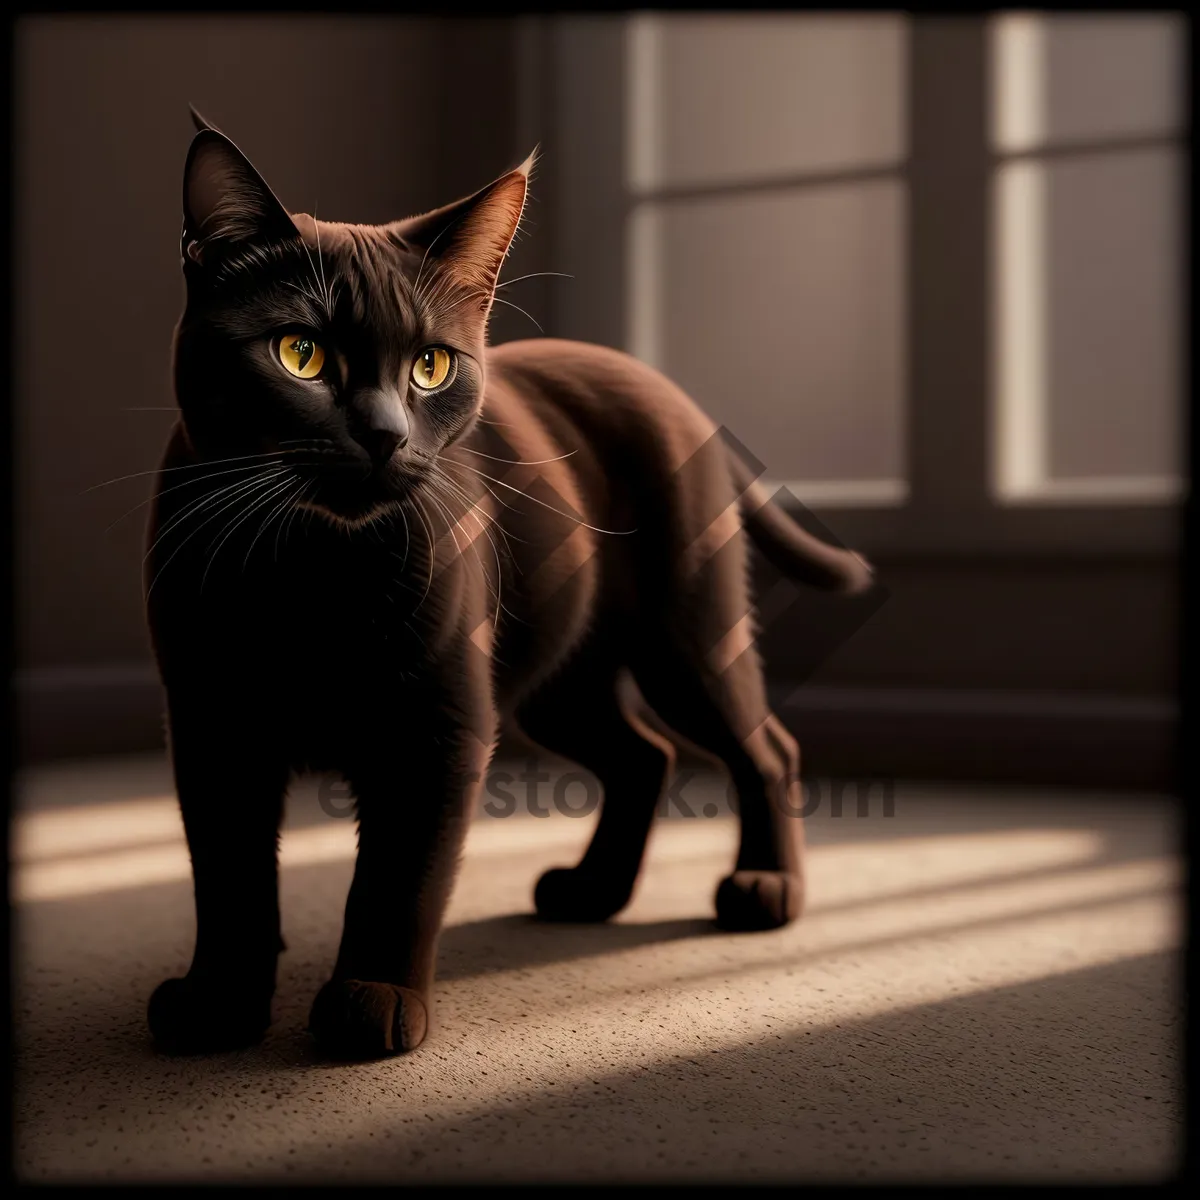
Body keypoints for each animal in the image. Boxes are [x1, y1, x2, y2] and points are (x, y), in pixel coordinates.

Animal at [145, 108, 878, 1056]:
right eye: (299, 354)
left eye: (431, 366)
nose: (383, 434)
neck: (314, 571)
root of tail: (665, 388)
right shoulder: (211, 720)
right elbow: (228, 875)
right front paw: (220, 1004)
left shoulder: (439, 723)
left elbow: (396, 876)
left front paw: (373, 1001)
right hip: (559, 677)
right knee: (643, 753)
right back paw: (593, 892)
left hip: (683, 640)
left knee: (763, 746)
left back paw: (763, 890)